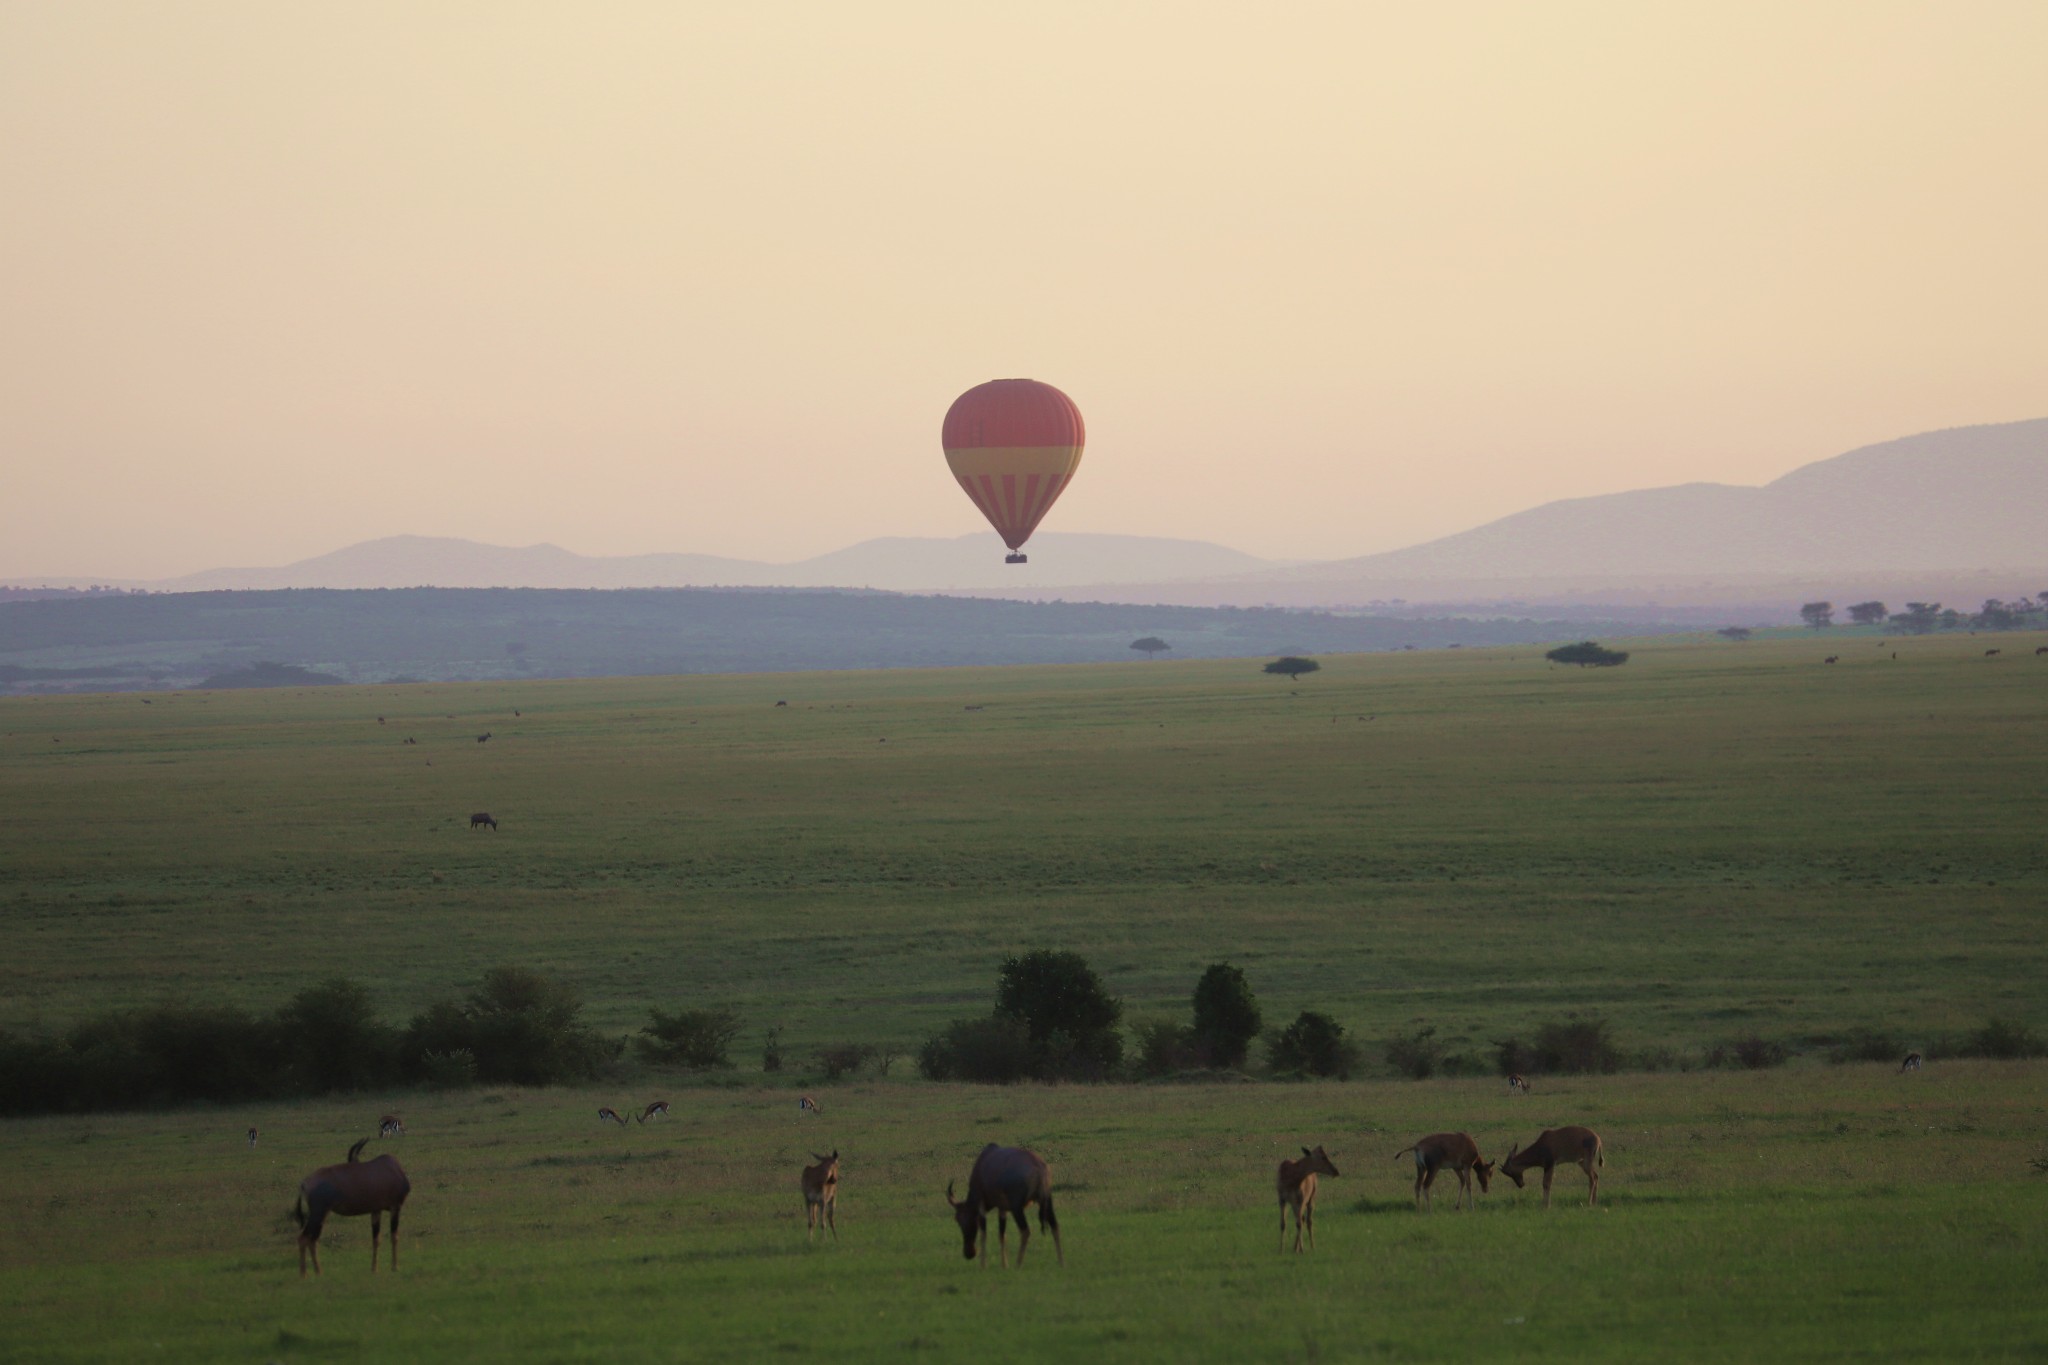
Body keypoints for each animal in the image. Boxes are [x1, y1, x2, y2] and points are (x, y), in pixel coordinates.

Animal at [290, 1137, 409, 1277]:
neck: (392, 1167)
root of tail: (304, 1183)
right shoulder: (395, 1207)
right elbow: (394, 1236)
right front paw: (395, 1267)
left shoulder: (376, 1211)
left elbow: (376, 1239)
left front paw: (374, 1269)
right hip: (318, 1213)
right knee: (304, 1238)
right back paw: (306, 1274)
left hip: (321, 1214)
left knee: (312, 1240)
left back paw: (317, 1272)